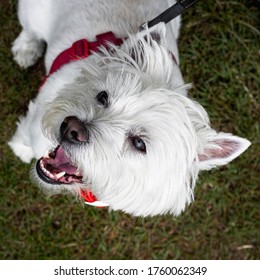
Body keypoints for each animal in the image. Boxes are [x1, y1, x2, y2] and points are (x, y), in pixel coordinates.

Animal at [9, 0, 251, 217]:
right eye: (103, 96)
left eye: (139, 143)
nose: (71, 128)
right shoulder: (37, 117)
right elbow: (25, 135)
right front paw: (21, 148)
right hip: (33, 12)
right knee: (30, 30)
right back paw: (26, 49)